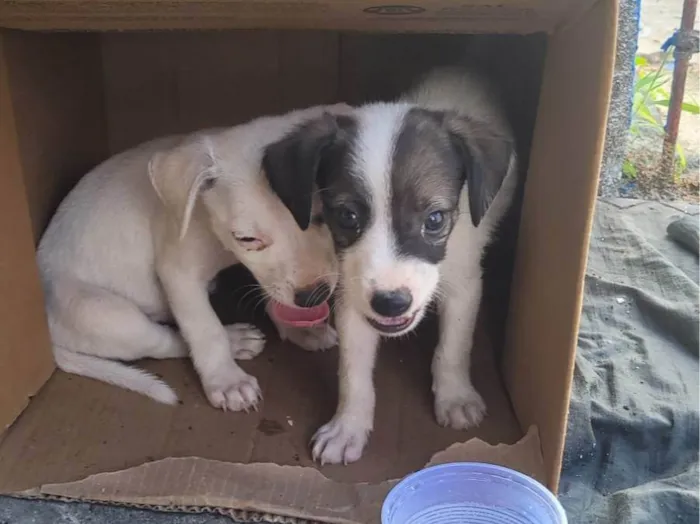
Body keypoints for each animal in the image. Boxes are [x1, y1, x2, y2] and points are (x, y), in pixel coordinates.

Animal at [38, 104, 350, 412]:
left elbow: (274, 289)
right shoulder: (179, 274)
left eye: (322, 217)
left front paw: (298, 329)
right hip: (103, 314)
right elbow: (204, 328)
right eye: (247, 239)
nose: (312, 297)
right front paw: (227, 380)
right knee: (164, 341)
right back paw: (235, 340)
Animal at [266, 67, 516, 464]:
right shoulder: (353, 295)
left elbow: (454, 346)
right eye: (347, 216)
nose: (391, 304)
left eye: (434, 219)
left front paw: (455, 396)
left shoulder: (464, 283)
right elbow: (352, 372)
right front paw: (348, 426)